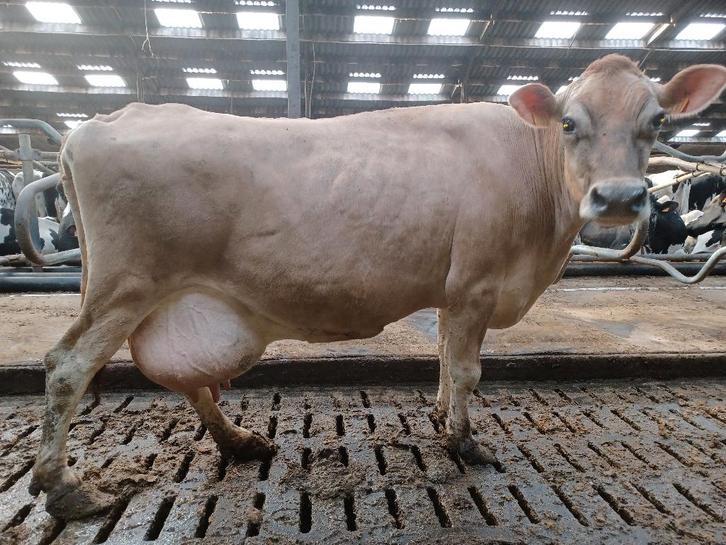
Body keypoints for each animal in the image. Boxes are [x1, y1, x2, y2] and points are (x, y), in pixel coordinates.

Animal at [28, 55, 726, 520]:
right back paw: (66, 488)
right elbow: (467, 369)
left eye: (656, 121)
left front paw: (442, 417)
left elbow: (443, 358)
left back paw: (238, 441)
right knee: (68, 367)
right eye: (570, 124)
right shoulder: (476, 283)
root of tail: (100, 120)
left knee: (186, 376)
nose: (620, 198)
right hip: (127, 285)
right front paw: (464, 443)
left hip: (164, 294)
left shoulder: (453, 290)